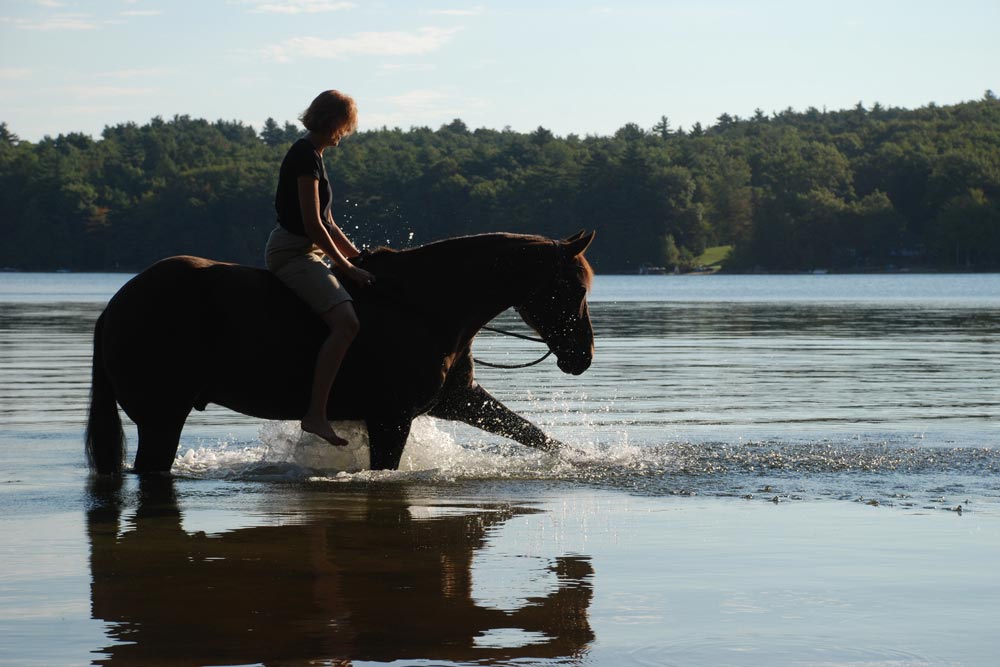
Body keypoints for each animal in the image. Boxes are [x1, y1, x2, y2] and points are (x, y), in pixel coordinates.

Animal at [86, 232, 592, 472]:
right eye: (574, 287)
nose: (582, 357)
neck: (425, 305)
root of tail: (116, 305)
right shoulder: (392, 418)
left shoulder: (457, 399)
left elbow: (531, 433)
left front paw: (583, 459)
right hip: (161, 420)